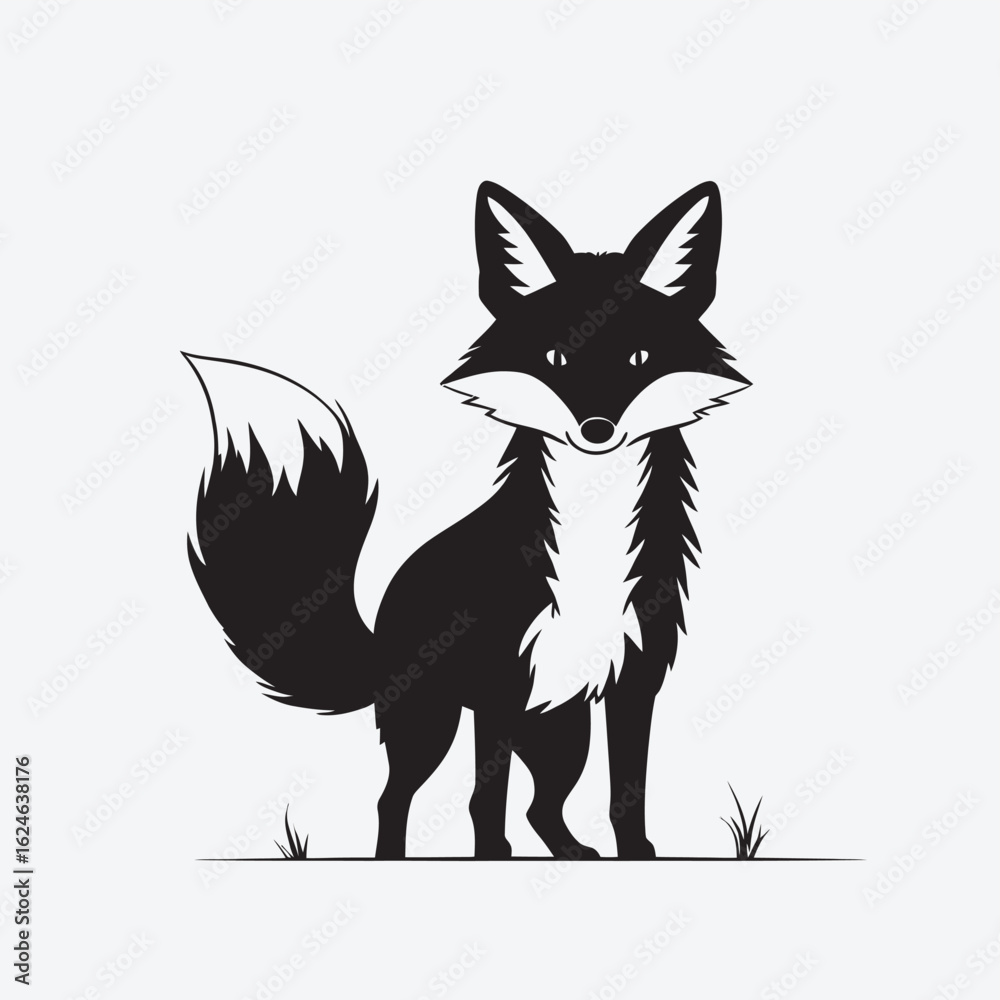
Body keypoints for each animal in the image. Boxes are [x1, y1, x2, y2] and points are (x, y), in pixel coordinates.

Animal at [185, 179, 749, 859]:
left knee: (541, 806)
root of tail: (380, 626)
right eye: (555, 357)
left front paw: (637, 856)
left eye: (639, 357)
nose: (597, 431)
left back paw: (572, 853)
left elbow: (627, 792)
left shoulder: (633, 682)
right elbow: (486, 796)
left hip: (565, 735)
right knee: (396, 798)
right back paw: (395, 860)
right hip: (435, 725)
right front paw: (487, 860)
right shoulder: (498, 688)